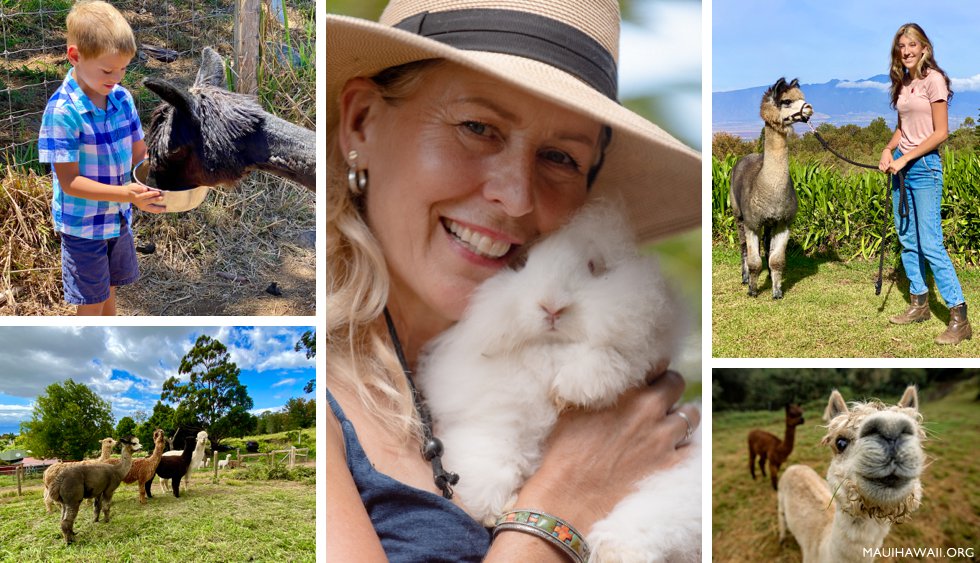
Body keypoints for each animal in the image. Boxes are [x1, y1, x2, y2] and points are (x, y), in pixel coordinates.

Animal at [418, 200, 700, 560]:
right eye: (521, 263)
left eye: (595, 267)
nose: (552, 307)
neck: (549, 355)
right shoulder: (495, 417)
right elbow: (490, 453)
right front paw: (494, 508)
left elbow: (610, 360)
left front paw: (573, 388)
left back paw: (614, 550)